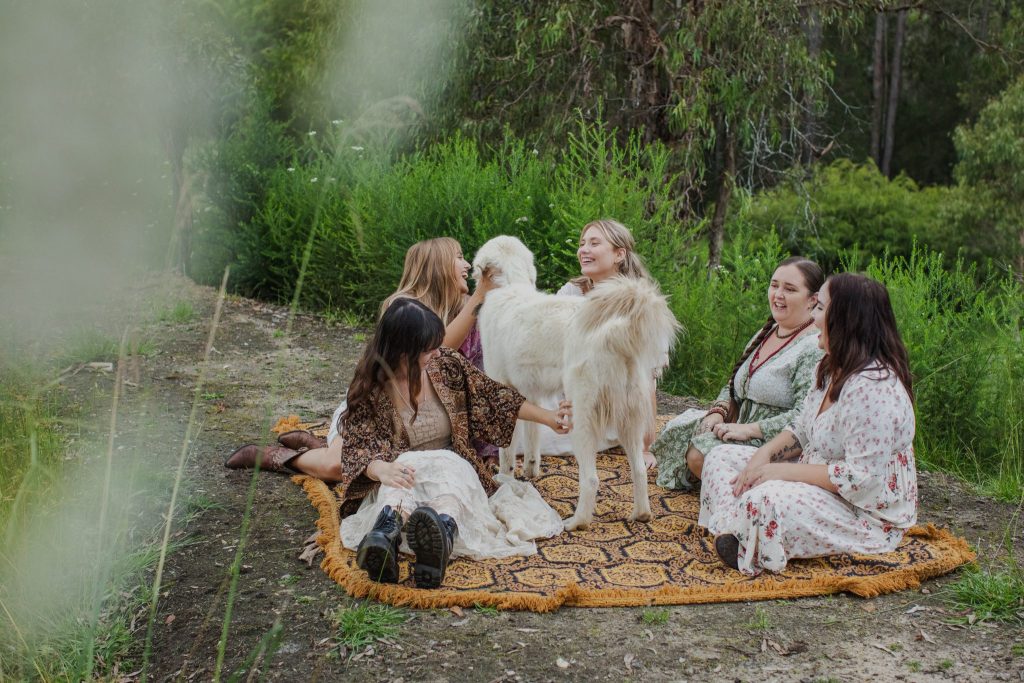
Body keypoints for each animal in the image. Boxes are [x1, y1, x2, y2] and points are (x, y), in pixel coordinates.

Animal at [473, 237, 679, 532]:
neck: (512, 285)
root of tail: (616, 333)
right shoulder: (530, 395)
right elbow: (532, 437)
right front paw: (531, 471)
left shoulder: (502, 389)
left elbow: (507, 450)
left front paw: (505, 480)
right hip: (629, 420)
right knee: (638, 470)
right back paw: (640, 514)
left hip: (580, 420)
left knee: (591, 479)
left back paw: (576, 522)